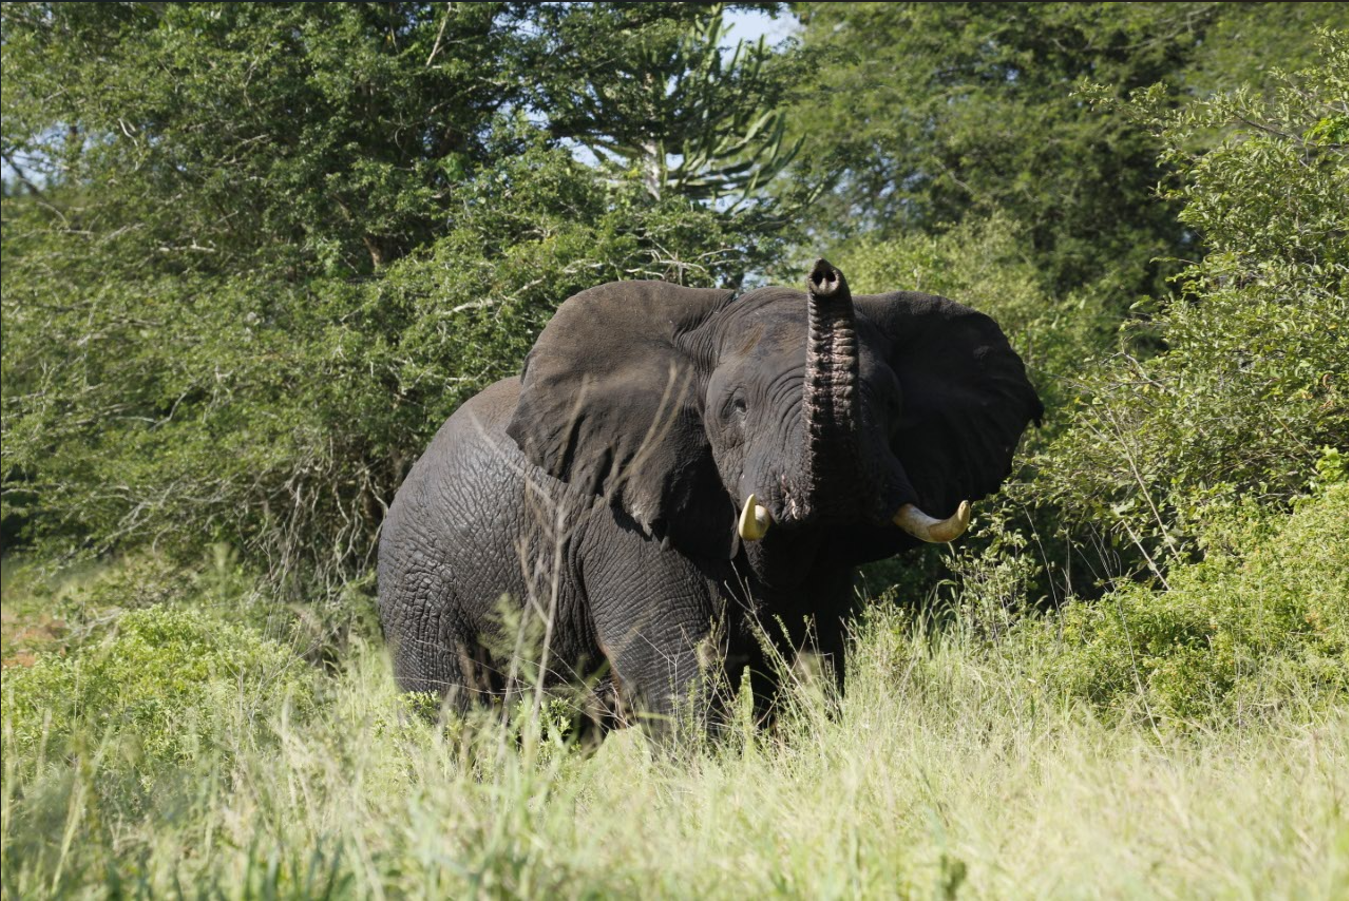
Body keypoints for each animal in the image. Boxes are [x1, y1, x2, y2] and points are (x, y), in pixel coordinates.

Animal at [377, 260, 1042, 728]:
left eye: (891, 403)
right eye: (736, 408)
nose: (824, 275)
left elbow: (811, 662)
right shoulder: (623, 521)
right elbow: (677, 671)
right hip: (420, 583)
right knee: (453, 718)